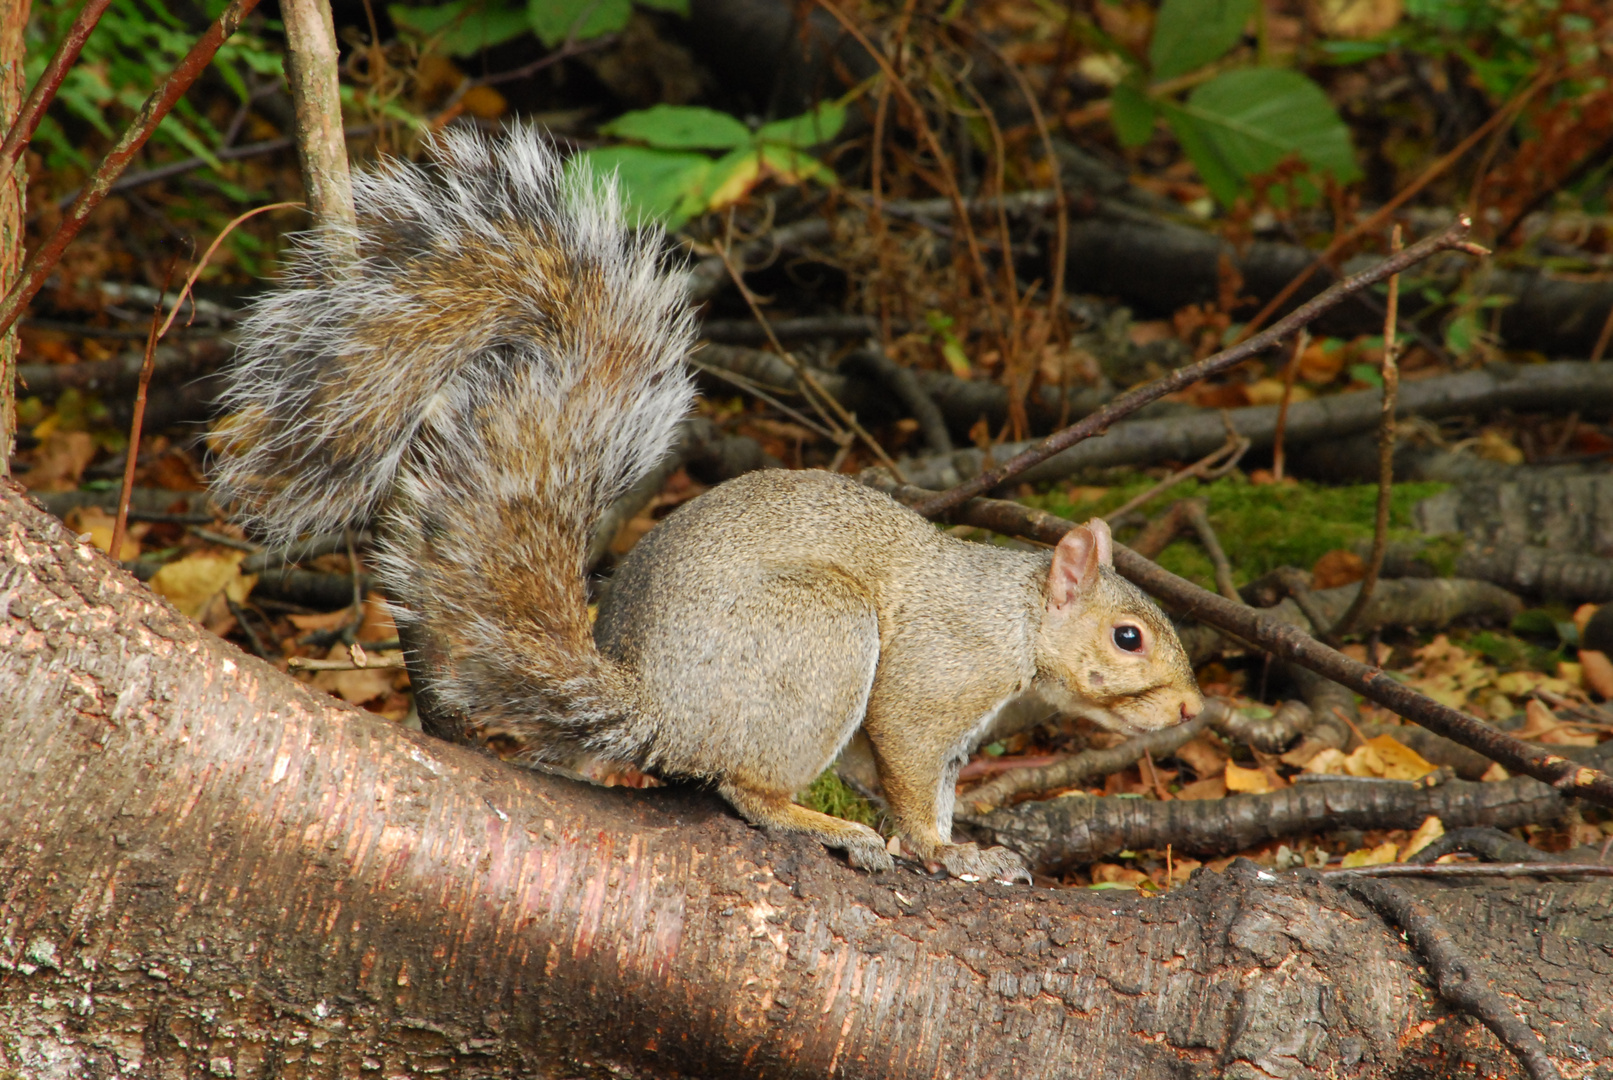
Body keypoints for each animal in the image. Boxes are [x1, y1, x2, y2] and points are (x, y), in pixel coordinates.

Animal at [211, 128, 1200, 889]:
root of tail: (657, 708)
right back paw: (823, 826)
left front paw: (971, 851)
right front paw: (938, 851)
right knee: (743, 790)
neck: (1015, 618)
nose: (1195, 710)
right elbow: (912, 772)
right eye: (1128, 637)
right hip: (816, 633)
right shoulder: (937, 677)